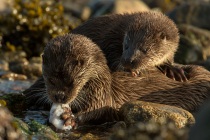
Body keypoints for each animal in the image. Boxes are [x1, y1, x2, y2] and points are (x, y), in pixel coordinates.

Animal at [39, 33, 210, 127]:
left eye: (70, 82)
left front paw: (71, 118)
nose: (59, 97)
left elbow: (97, 109)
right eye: (50, 80)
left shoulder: (101, 95)